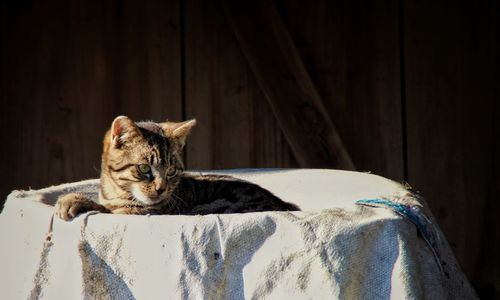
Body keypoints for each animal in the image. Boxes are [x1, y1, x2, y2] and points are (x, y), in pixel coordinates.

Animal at [55, 115, 296, 220]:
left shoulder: (137, 214)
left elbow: (103, 208)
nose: (161, 189)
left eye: (171, 171)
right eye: (144, 168)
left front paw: (73, 200)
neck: (115, 193)